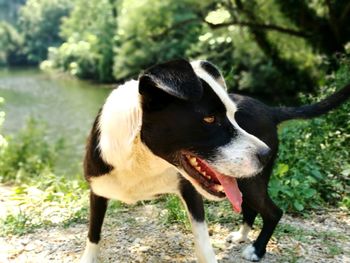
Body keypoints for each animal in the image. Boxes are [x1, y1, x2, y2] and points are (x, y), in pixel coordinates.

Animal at [80, 58, 350, 262]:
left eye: (233, 115)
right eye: (209, 119)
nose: (265, 154)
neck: (143, 160)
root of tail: (271, 109)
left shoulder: (190, 191)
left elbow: (202, 243)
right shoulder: (98, 192)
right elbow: (94, 233)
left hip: (252, 182)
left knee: (273, 211)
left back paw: (256, 250)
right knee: (251, 207)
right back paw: (242, 235)